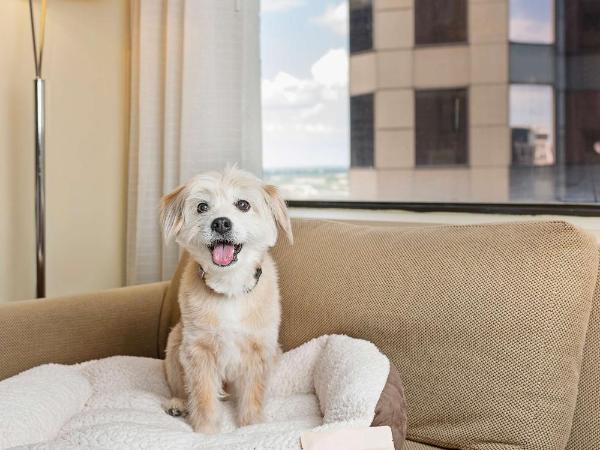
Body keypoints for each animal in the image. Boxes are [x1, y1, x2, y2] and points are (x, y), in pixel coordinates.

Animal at [158, 167, 292, 434]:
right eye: (202, 207)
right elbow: (203, 396)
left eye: (243, 204)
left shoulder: (259, 350)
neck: (230, 287)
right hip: (175, 340)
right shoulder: (198, 350)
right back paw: (178, 403)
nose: (220, 222)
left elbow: (253, 395)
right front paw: (206, 431)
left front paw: (252, 426)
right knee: (181, 387)